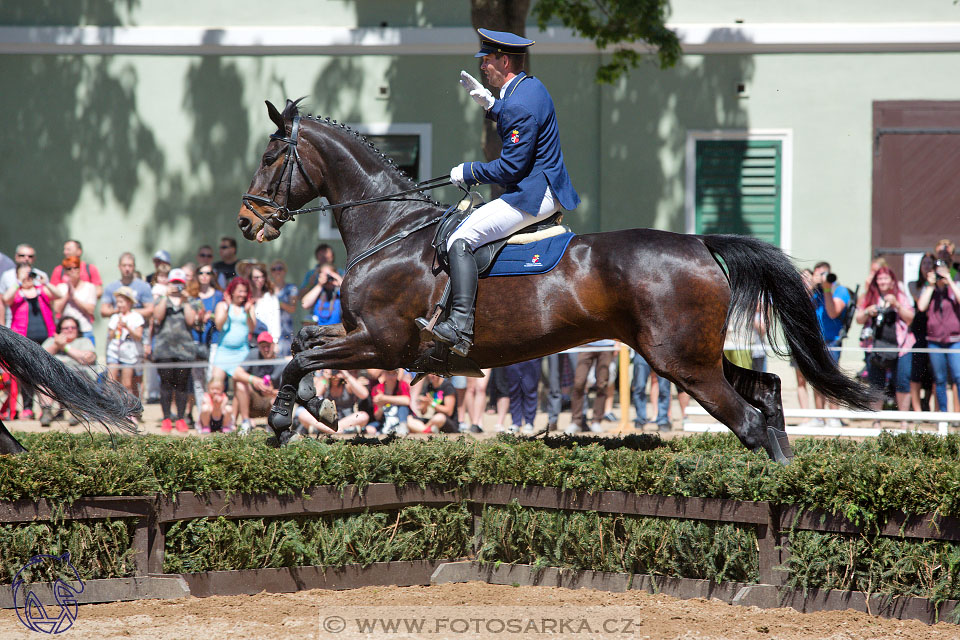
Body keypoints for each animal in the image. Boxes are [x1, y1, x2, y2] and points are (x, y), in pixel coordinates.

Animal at [236, 99, 872, 460]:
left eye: (270, 158)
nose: (246, 221)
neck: (391, 229)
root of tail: (698, 243)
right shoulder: (359, 336)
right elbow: (303, 342)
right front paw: (320, 406)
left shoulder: (384, 343)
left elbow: (299, 355)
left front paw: (283, 419)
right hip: (694, 357)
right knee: (767, 393)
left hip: (681, 364)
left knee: (749, 421)